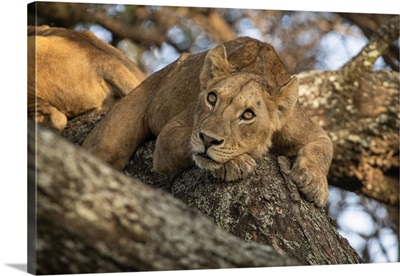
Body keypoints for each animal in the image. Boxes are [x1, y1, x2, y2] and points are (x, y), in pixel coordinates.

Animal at [82, 37, 334, 208]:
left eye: (248, 115)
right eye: (211, 98)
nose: (208, 139)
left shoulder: (308, 129)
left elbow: (323, 148)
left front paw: (313, 183)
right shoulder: (170, 135)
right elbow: (185, 143)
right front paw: (233, 163)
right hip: (111, 137)